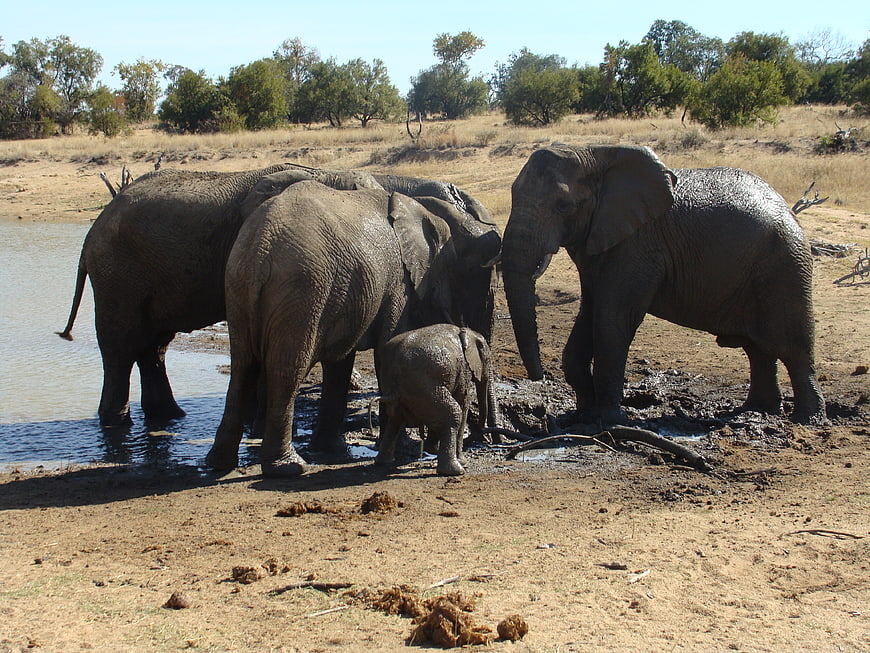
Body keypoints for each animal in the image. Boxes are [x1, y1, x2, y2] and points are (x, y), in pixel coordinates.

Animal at [58, 164, 499, 429]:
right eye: (467, 269)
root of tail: (92, 228)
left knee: (154, 347)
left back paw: (170, 417)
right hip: (117, 274)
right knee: (120, 347)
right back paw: (118, 425)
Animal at [375, 324, 495, 476]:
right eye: (488, 360)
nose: (484, 435)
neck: (466, 332)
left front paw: (433, 450)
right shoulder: (464, 370)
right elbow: (463, 402)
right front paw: (463, 461)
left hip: (399, 384)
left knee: (395, 421)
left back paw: (384, 462)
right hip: (422, 386)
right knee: (453, 413)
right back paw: (455, 470)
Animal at [501, 143, 825, 425]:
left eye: (564, 206)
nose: (539, 377)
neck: (597, 153)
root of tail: (789, 210)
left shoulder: (639, 244)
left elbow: (613, 318)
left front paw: (611, 419)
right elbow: (590, 311)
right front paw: (583, 417)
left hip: (785, 265)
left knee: (794, 348)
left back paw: (806, 419)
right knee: (758, 350)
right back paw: (756, 411)